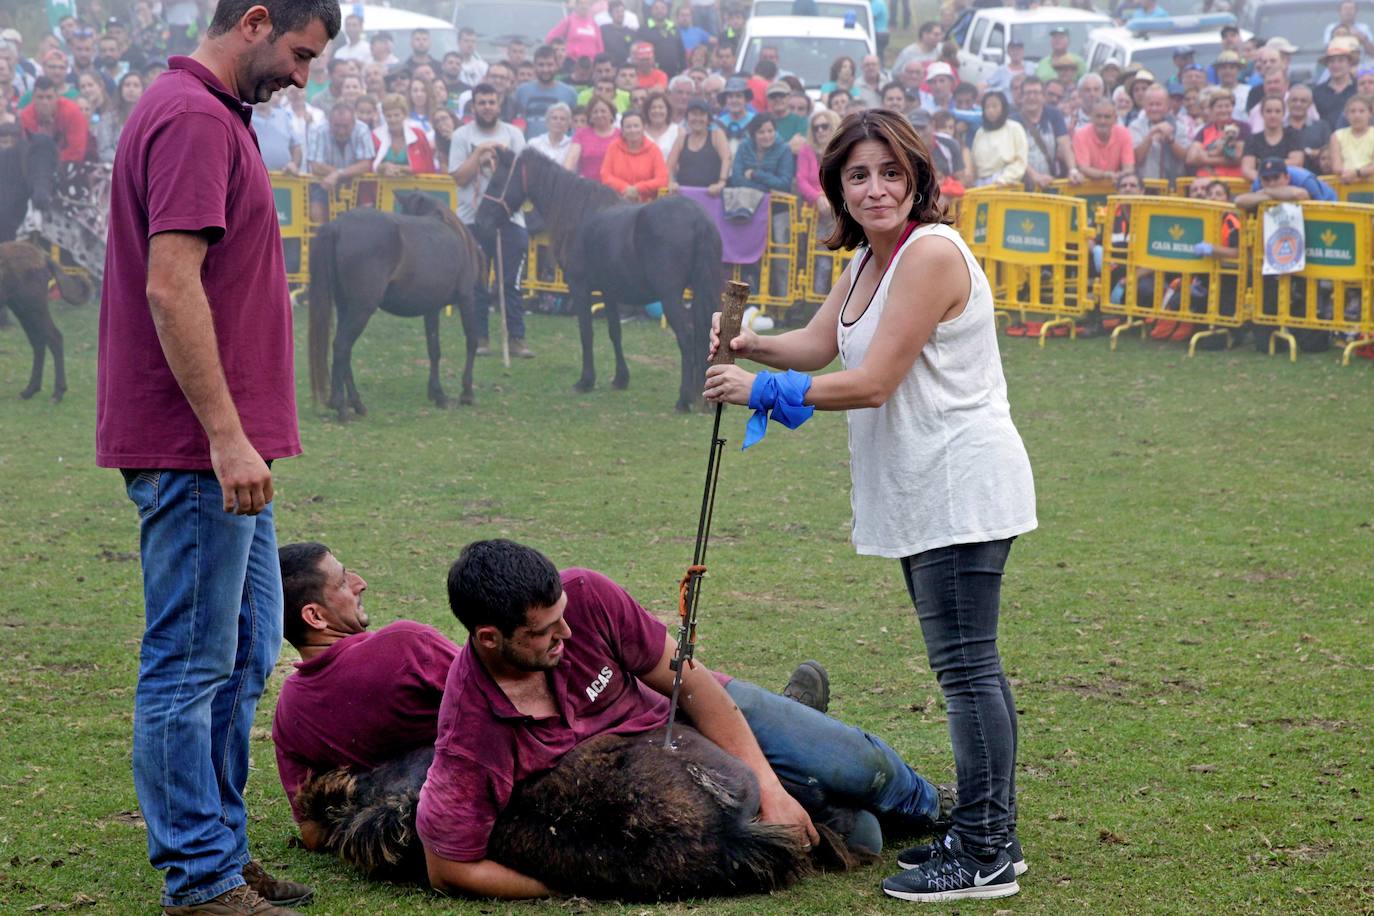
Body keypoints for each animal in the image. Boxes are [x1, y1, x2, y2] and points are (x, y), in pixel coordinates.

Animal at [0, 240, 91, 401]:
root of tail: (43, 258)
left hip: (32, 308)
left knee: (54, 338)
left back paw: (57, 393)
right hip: (23, 311)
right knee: (39, 342)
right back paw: (30, 390)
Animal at [309, 195, 486, 425]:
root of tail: (336, 226)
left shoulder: (432, 308)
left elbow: (434, 350)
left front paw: (438, 395)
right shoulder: (466, 299)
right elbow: (471, 342)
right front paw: (467, 394)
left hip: (346, 307)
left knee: (343, 352)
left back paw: (357, 404)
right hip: (361, 309)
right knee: (341, 347)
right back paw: (341, 407)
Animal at [478, 147, 725, 411]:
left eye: (495, 182)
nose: (481, 221)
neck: (579, 213)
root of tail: (698, 218)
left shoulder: (580, 288)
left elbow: (586, 333)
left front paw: (585, 381)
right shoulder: (609, 291)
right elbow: (614, 332)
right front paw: (620, 379)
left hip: (670, 296)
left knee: (686, 337)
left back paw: (683, 400)